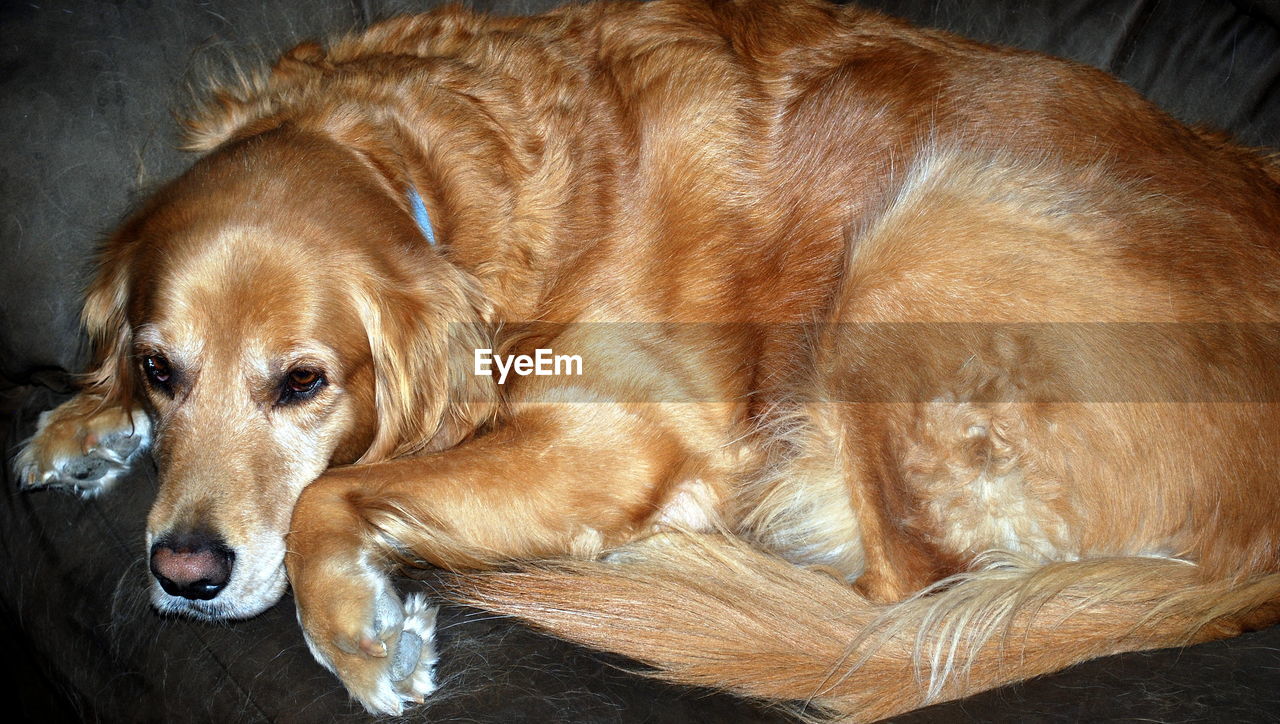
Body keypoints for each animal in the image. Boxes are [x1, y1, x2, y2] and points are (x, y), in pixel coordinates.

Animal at [15, 0, 1280, 721]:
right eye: (161, 369)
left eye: (303, 382)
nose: (184, 572)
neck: (425, 172)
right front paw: (82, 425)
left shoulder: (618, 429)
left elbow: (331, 490)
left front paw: (364, 635)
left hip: (923, 238)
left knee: (896, 596)